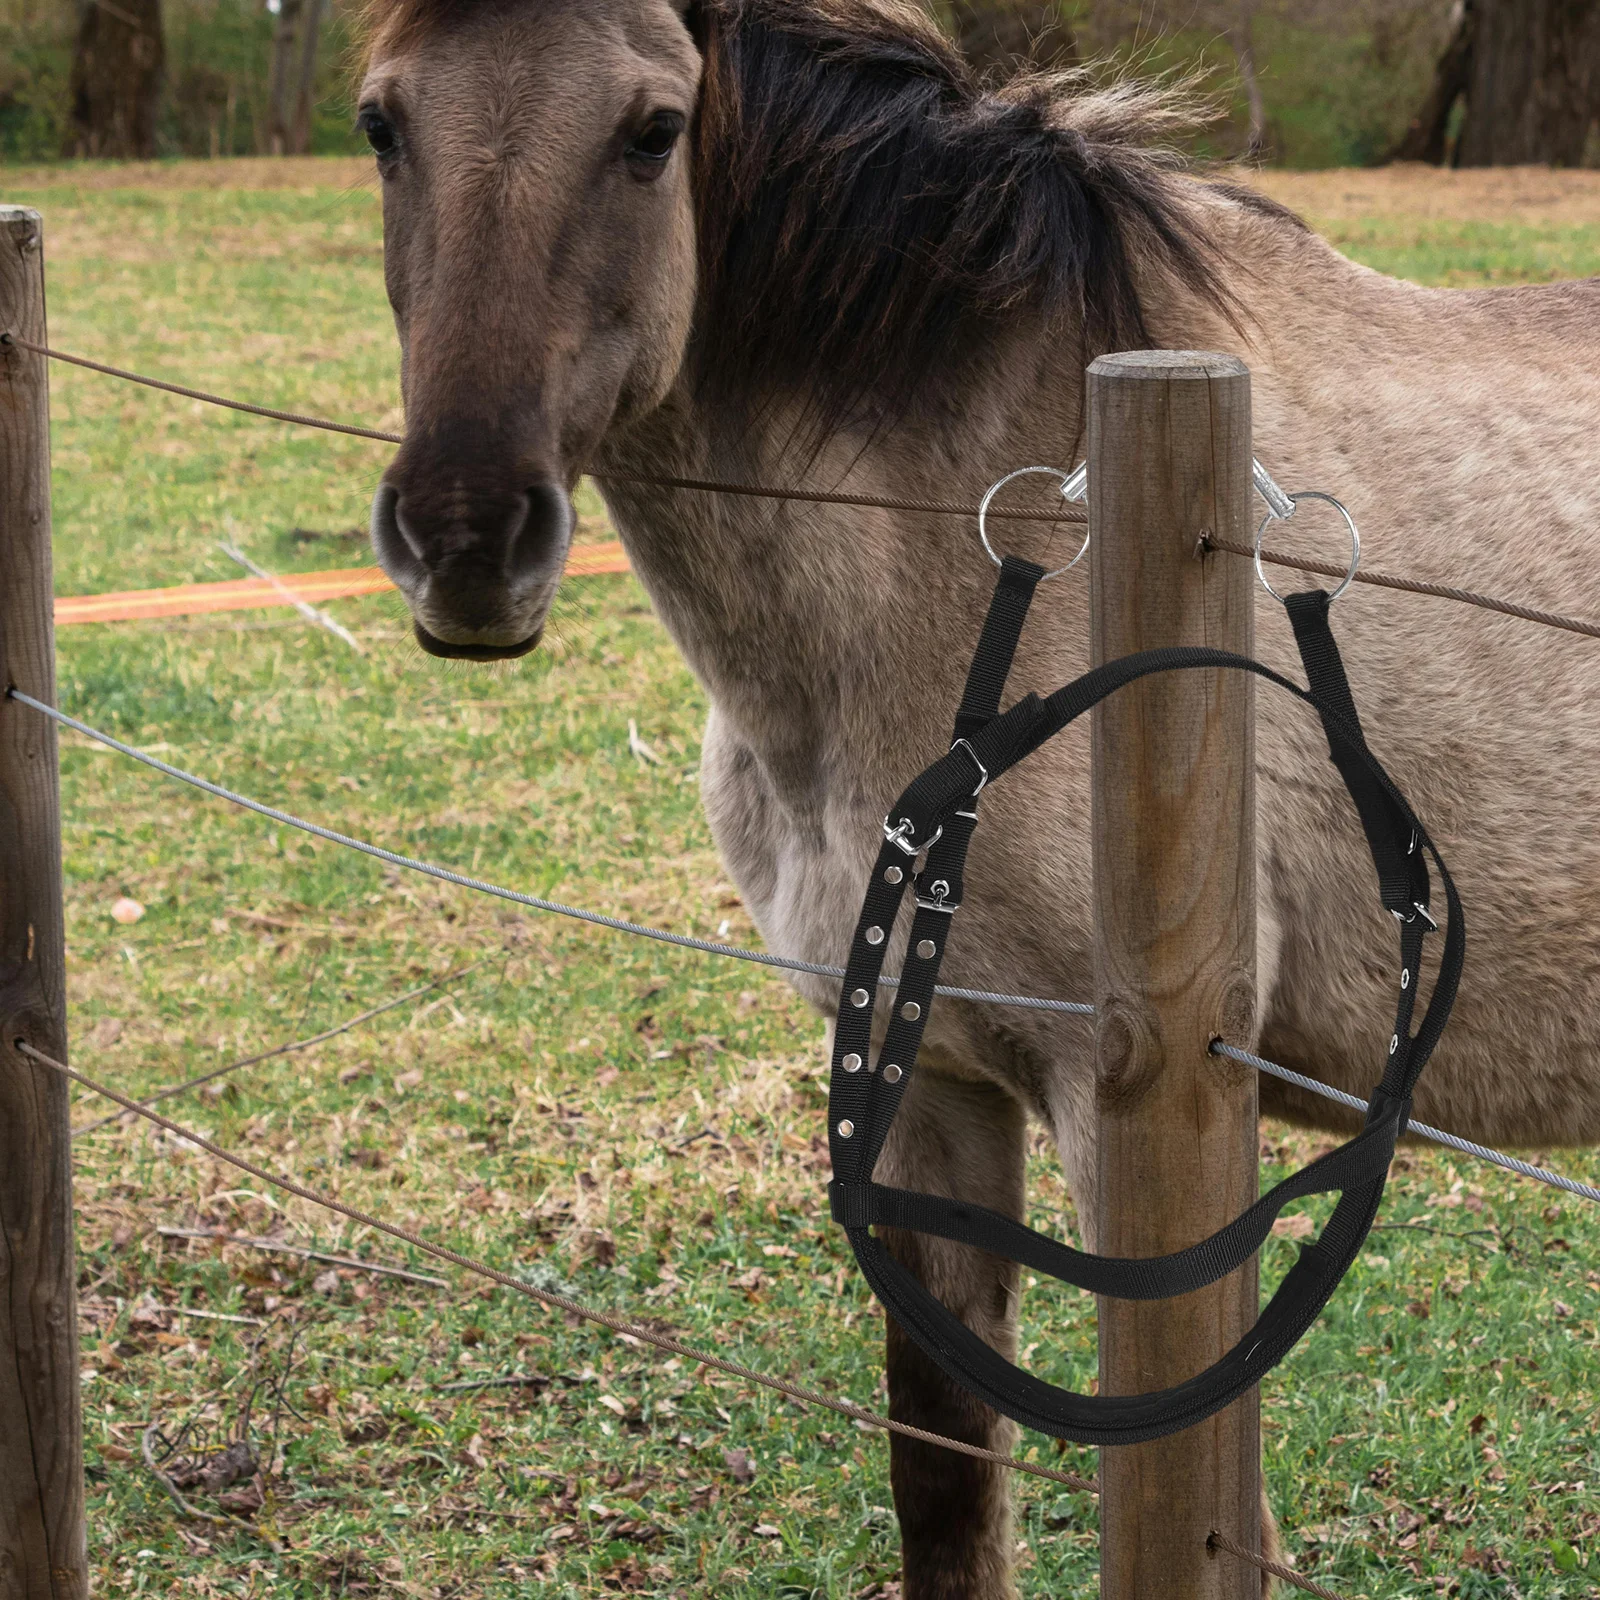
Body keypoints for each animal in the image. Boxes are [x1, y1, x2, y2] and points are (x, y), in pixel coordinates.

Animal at [356, 2, 1600, 1594]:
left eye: (652, 131)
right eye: (382, 124)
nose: (465, 540)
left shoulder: (1135, 1113)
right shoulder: (929, 1086)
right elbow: (945, 1477)